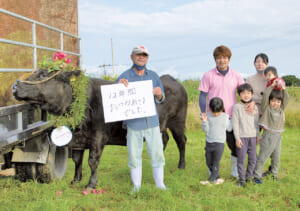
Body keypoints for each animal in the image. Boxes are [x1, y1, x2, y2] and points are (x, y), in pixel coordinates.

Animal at [14, 70, 189, 189]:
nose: (15, 86)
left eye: (43, 75)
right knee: (164, 140)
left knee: (181, 142)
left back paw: (181, 166)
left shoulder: (98, 137)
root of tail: (172, 79)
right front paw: (76, 179)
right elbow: (77, 160)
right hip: (162, 127)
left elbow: (92, 161)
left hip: (178, 122)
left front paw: (91, 184)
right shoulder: (77, 139)